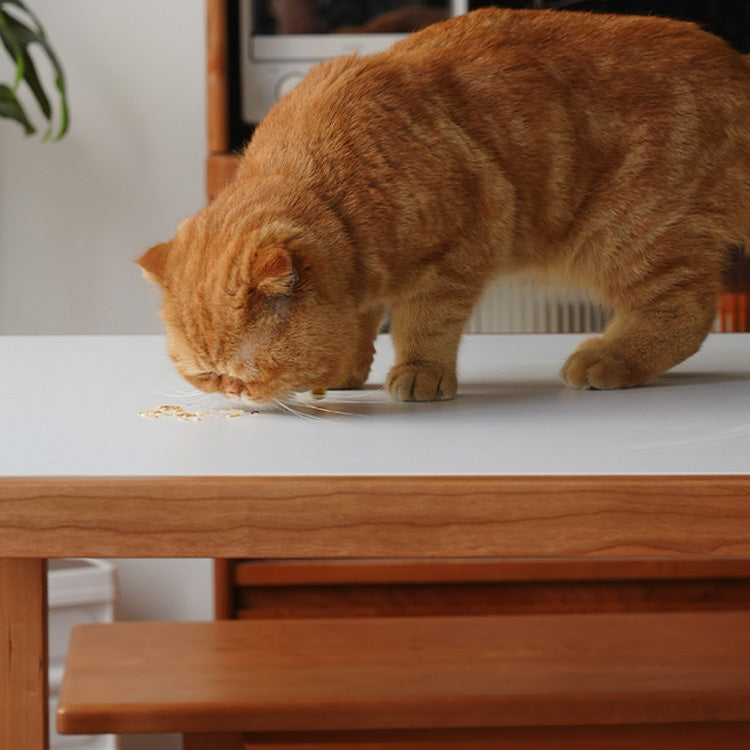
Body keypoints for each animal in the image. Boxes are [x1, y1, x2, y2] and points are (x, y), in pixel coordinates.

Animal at [137, 7, 750, 406]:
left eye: (247, 371)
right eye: (206, 377)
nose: (233, 392)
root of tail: (735, 66)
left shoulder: (455, 256)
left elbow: (423, 326)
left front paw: (418, 374)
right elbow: (361, 322)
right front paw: (346, 368)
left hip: (630, 234)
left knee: (687, 314)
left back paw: (607, 360)